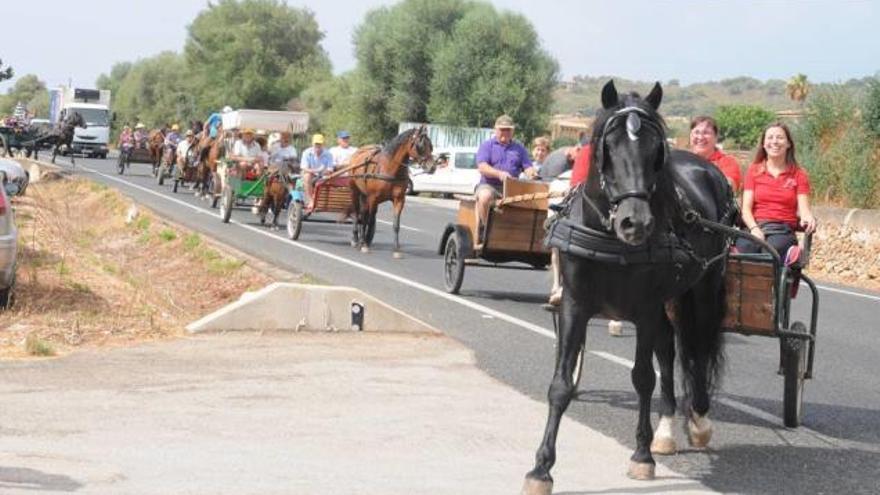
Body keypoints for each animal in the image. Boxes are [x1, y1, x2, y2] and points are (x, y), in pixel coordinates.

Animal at [348, 126, 434, 258]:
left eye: (431, 145)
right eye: (420, 146)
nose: (432, 167)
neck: (390, 169)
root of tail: (358, 152)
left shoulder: (399, 200)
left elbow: (396, 224)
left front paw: (396, 249)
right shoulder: (373, 198)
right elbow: (369, 220)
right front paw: (365, 245)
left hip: (365, 196)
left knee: (364, 214)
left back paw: (364, 239)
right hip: (356, 192)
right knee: (358, 214)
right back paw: (357, 239)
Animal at [524, 79, 736, 494]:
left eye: (656, 151)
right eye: (608, 146)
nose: (635, 222)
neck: (609, 240)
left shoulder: (645, 309)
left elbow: (642, 378)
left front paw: (641, 456)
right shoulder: (575, 305)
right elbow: (561, 384)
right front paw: (541, 469)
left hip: (702, 289)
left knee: (699, 347)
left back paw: (699, 421)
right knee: (670, 351)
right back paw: (667, 429)